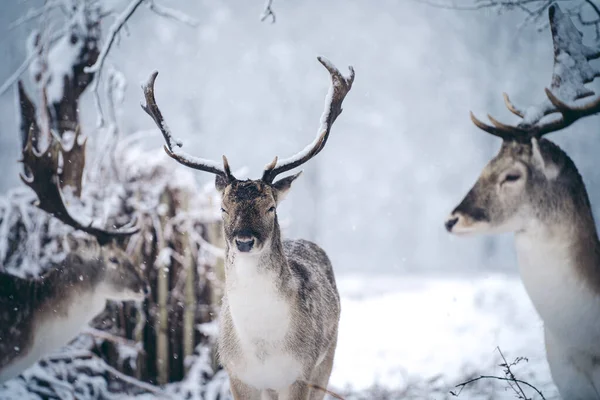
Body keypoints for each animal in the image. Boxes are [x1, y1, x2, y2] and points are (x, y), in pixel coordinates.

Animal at [142, 57, 354, 400]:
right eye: (223, 208)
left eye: (271, 207)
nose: (244, 240)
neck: (263, 348)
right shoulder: (237, 375)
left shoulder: (300, 374)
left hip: (328, 358)